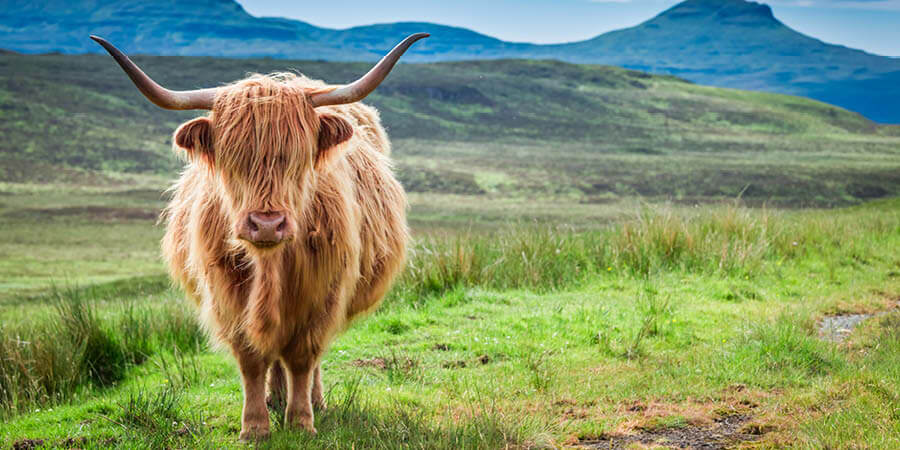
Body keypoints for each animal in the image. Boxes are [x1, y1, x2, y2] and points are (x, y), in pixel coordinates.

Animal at [91, 33, 427, 441]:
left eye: (298, 157)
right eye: (232, 158)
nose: (267, 224)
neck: (271, 266)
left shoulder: (323, 292)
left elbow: (303, 356)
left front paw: (301, 421)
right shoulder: (227, 293)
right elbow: (251, 358)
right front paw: (254, 426)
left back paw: (311, 401)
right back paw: (274, 398)